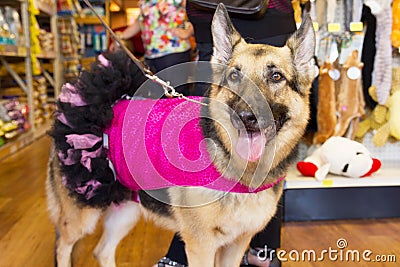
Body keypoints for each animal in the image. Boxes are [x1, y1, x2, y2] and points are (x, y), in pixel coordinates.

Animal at [47, 4, 316, 267]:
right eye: (234, 76)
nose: (245, 116)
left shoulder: (236, 245)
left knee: (102, 251)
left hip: (125, 209)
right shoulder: (201, 247)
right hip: (82, 215)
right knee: (62, 247)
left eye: (276, 77)